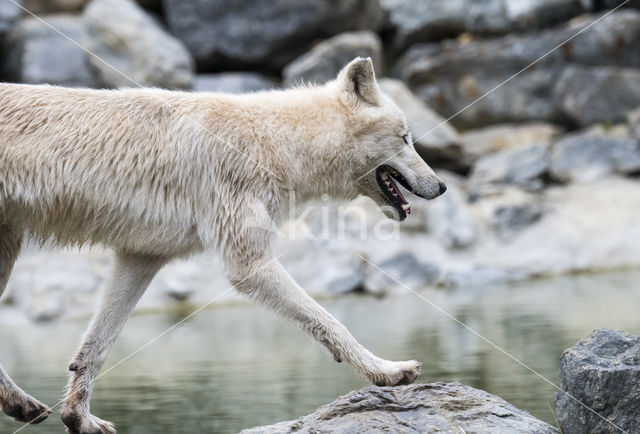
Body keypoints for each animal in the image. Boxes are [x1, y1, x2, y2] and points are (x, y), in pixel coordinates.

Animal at [0, 57, 444, 434]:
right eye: (406, 138)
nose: (440, 186)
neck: (278, 144)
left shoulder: (142, 256)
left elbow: (98, 343)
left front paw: (80, 418)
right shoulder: (247, 260)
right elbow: (330, 319)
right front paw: (387, 371)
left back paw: (21, 404)